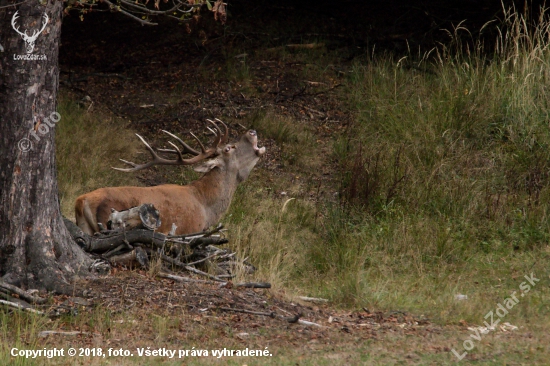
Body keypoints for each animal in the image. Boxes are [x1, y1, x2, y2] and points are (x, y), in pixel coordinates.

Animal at [76, 120, 268, 234]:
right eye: (228, 148)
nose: (251, 131)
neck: (206, 208)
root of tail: (81, 201)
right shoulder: (189, 231)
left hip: (85, 228)